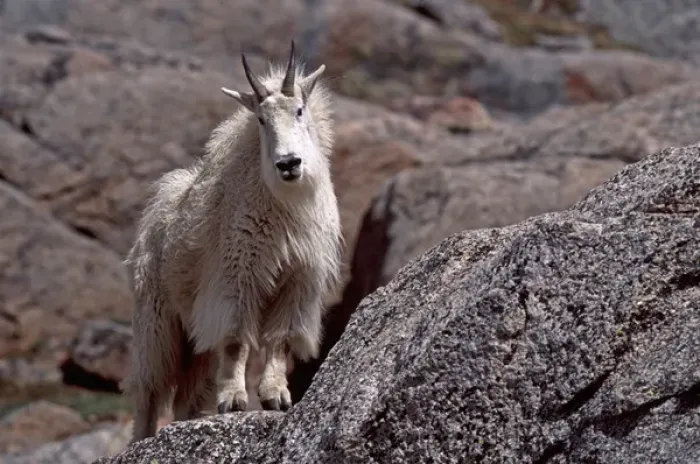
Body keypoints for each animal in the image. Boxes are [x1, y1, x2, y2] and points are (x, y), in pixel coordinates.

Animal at [121, 41, 342, 443]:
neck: (285, 207)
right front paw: (235, 400)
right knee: (150, 387)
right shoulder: (236, 278)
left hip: (194, 334)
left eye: (299, 110)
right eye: (261, 120)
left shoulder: (297, 282)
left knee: (188, 395)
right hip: (156, 321)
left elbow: (278, 340)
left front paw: (276, 396)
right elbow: (237, 340)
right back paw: (142, 438)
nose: (289, 164)